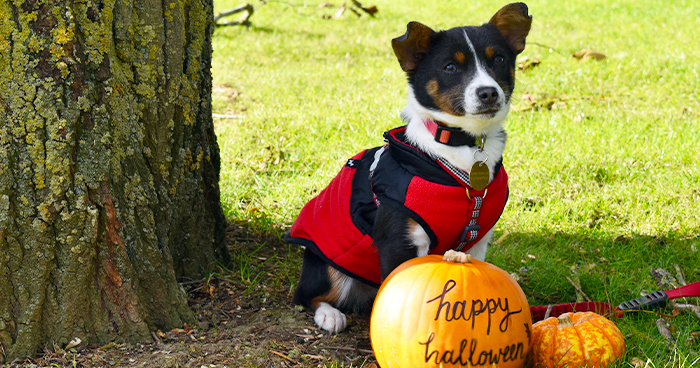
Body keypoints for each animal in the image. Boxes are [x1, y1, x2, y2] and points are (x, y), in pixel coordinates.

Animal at [284, 2, 532, 334]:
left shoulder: (477, 241)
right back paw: (330, 315)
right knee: (307, 294)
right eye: (450, 67)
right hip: (327, 268)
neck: (462, 148)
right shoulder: (399, 241)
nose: (488, 92)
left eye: (499, 60)